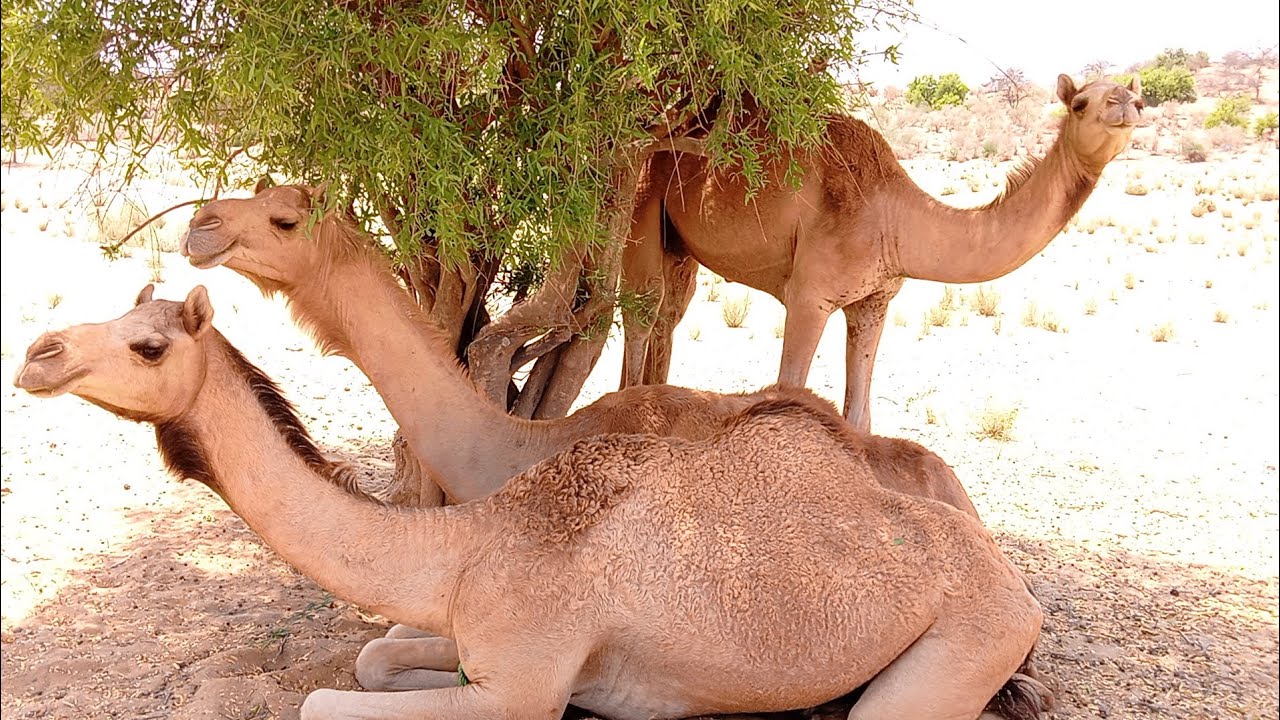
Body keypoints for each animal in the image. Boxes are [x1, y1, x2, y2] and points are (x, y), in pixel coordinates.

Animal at [15, 286, 1046, 720]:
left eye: (148, 343)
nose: (37, 352)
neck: (468, 544)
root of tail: (1007, 574)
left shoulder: (523, 685)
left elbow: (317, 701)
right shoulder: (482, 644)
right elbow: (376, 656)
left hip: (972, 631)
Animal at [620, 74, 1142, 430]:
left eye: (1135, 97)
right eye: (1080, 103)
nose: (1127, 104)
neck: (895, 219)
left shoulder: (875, 300)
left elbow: (859, 416)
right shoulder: (809, 296)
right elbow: (790, 390)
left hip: (681, 242)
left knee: (670, 314)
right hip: (643, 194)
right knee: (643, 310)